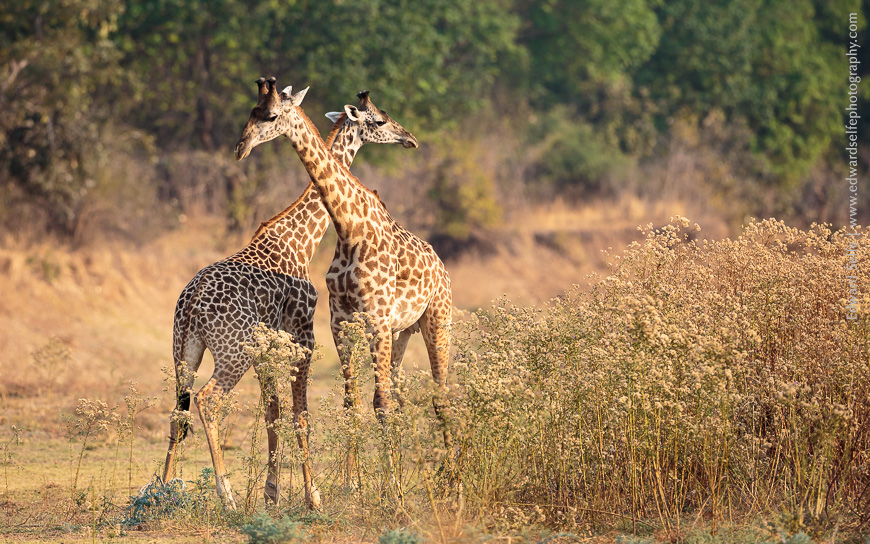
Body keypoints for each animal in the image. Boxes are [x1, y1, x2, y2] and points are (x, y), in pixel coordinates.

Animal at [162, 81, 418, 511]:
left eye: (263, 113)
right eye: (381, 120)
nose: (409, 138)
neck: (303, 240)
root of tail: (192, 302)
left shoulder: (268, 345)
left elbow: (274, 412)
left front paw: (273, 495)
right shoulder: (302, 335)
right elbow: (300, 415)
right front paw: (313, 496)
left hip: (185, 348)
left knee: (176, 411)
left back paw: (159, 492)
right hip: (232, 351)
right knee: (207, 401)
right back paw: (227, 497)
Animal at [235, 78, 455, 469]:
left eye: (271, 115)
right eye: (253, 112)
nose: (410, 138)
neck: (348, 228)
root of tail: (442, 268)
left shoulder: (377, 321)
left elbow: (379, 403)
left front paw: (390, 484)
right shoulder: (341, 321)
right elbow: (352, 403)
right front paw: (354, 482)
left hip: (436, 321)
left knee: (437, 396)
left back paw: (452, 479)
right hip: (403, 332)